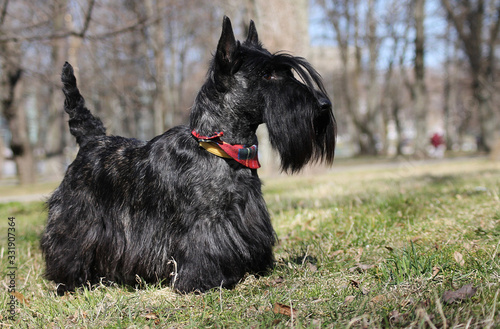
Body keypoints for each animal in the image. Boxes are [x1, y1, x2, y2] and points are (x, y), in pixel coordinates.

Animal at [39, 15, 336, 294]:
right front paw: (203, 281)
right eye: (266, 75)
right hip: (77, 217)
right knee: (67, 247)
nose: (324, 105)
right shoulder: (204, 222)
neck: (220, 148)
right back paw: (70, 282)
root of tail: (92, 139)